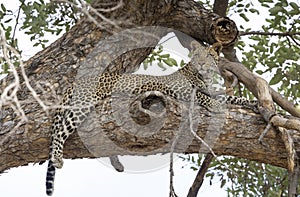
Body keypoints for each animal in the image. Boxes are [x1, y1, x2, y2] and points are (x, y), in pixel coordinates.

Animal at [45, 62, 258, 195]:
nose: (207, 68)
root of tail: (75, 82)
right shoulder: (186, 92)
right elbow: (210, 100)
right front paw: (218, 106)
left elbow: (232, 98)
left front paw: (254, 103)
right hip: (82, 104)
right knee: (59, 130)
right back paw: (57, 158)